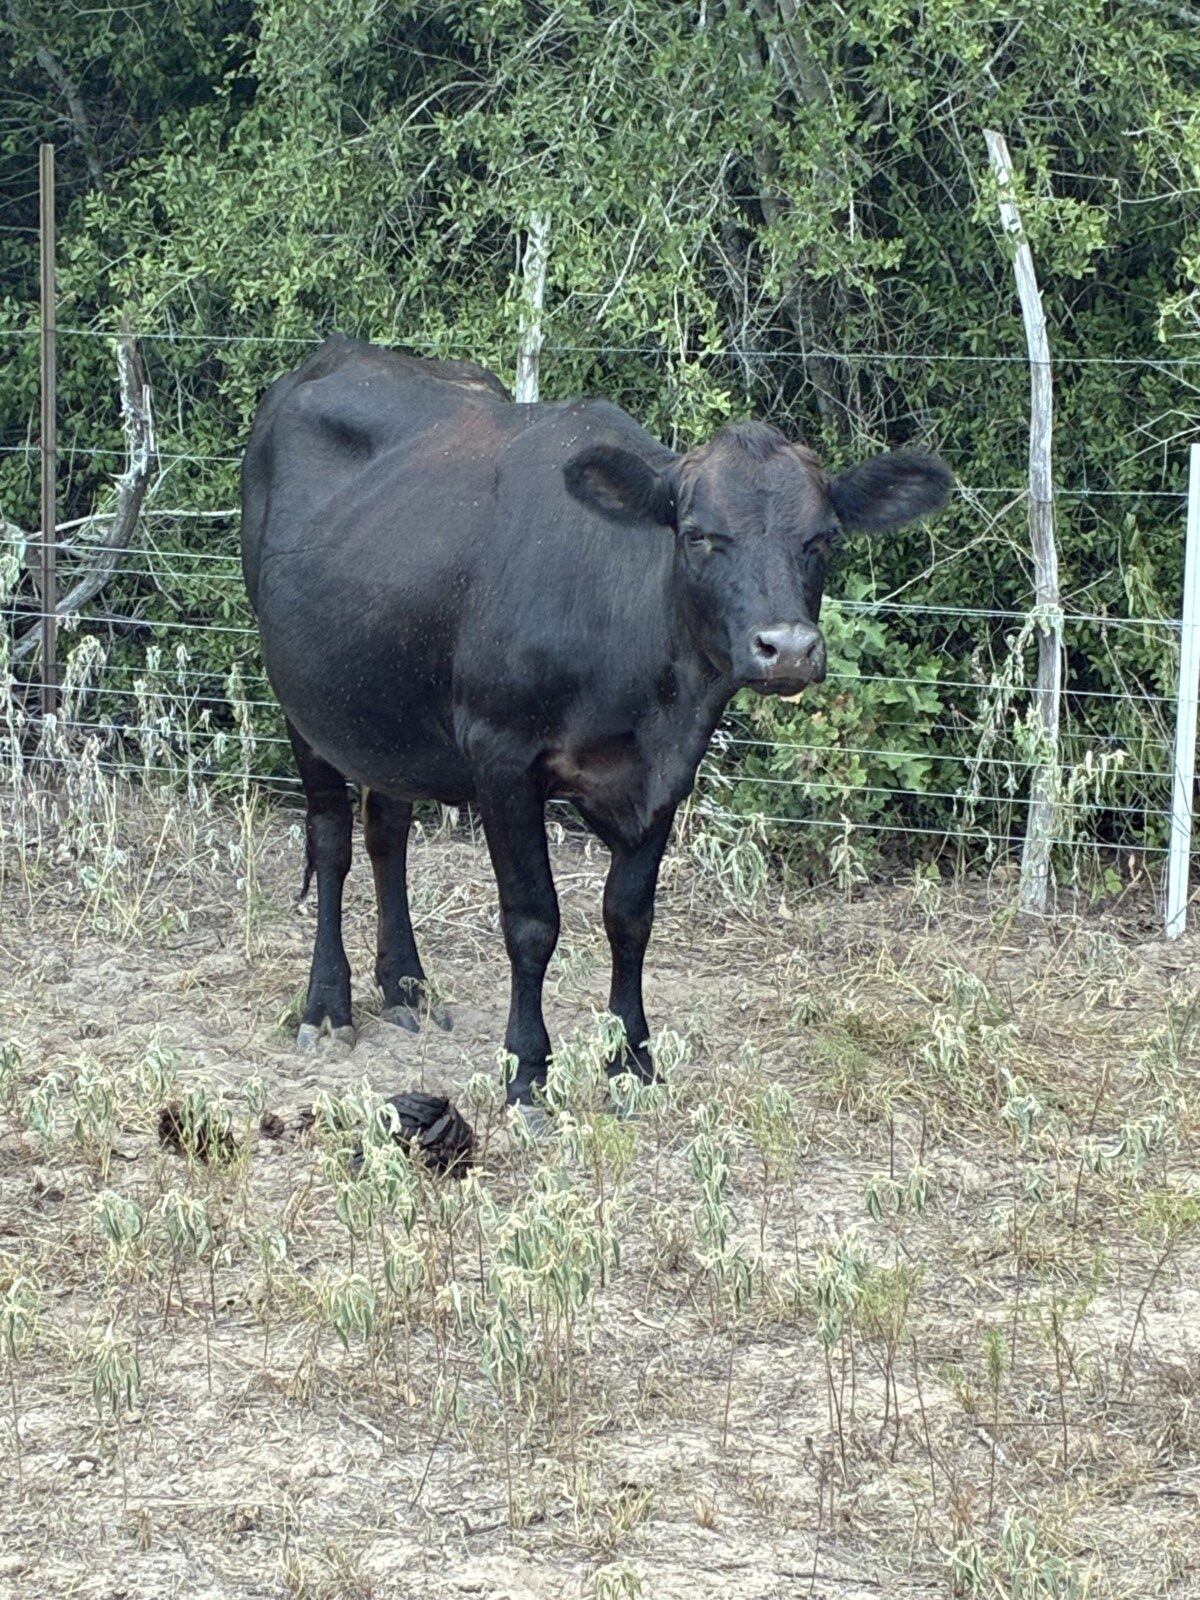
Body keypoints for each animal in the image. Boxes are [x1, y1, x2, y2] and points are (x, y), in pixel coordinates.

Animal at [240, 336, 951, 1106]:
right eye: (698, 535)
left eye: (822, 539)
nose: (786, 647)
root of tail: (341, 352)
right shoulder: (502, 758)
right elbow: (532, 921)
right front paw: (527, 1069)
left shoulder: (666, 773)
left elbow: (629, 918)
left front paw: (632, 1058)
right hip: (303, 701)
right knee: (332, 840)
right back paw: (327, 1006)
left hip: (384, 708)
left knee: (386, 832)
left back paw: (406, 986)